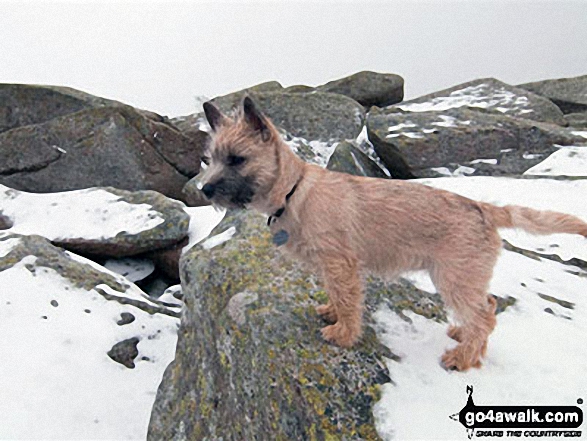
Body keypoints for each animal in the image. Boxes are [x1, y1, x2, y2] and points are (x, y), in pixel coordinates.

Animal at [199, 97, 587, 372]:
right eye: (210, 159)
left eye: (237, 159)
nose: (204, 190)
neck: (294, 192)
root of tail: (483, 207)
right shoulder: (332, 265)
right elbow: (336, 296)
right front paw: (332, 313)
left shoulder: (341, 264)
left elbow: (348, 299)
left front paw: (344, 334)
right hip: (464, 277)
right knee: (486, 308)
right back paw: (464, 339)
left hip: (454, 277)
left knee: (484, 316)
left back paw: (461, 358)